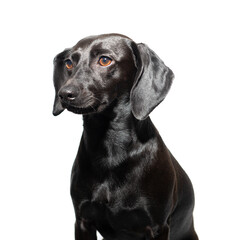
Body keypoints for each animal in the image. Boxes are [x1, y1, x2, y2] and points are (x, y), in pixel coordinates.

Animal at [53, 32, 198, 239]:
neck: (110, 147)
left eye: (105, 60)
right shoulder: (82, 220)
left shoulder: (157, 227)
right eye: (69, 63)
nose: (65, 93)